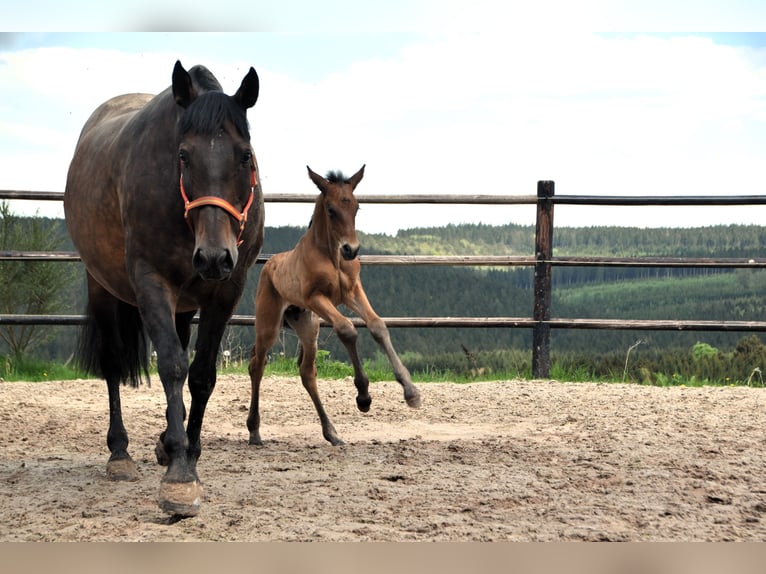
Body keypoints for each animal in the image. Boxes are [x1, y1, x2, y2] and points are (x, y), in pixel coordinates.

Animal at [63, 60, 268, 520]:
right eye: (183, 155)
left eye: (245, 155)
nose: (214, 257)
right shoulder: (151, 282)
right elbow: (172, 366)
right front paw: (179, 477)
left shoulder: (226, 291)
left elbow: (202, 374)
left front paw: (186, 452)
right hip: (103, 286)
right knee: (112, 363)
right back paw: (119, 453)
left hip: (186, 304)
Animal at [249, 164, 424, 448]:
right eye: (331, 209)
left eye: (356, 206)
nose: (351, 250)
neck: (332, 256)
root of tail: (269, 264)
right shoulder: (317, 298)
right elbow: (347, 329)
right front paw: (363, 396)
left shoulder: (352, 291)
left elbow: (377, 326)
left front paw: (411, 392)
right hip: (269, 324)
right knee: (257, 364)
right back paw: (254, 431)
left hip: (307, 325)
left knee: (307, 372)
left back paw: (331, 433)